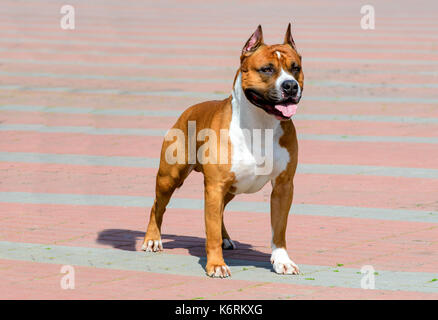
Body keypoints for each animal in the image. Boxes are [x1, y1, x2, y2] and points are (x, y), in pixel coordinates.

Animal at [143, 23, 304, 278]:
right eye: (267, 69)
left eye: (295, 68)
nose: (290, 85)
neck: (261, 124)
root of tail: (187, 111)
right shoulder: (215, 186)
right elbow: (211, 232)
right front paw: (216, 265)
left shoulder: (283, 187)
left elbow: (278, 231)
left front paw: (282, 261)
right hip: (170, 177)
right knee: (157, 206)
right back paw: (152, 239)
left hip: (230, 188)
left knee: (219, 214)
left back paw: (226, 238)